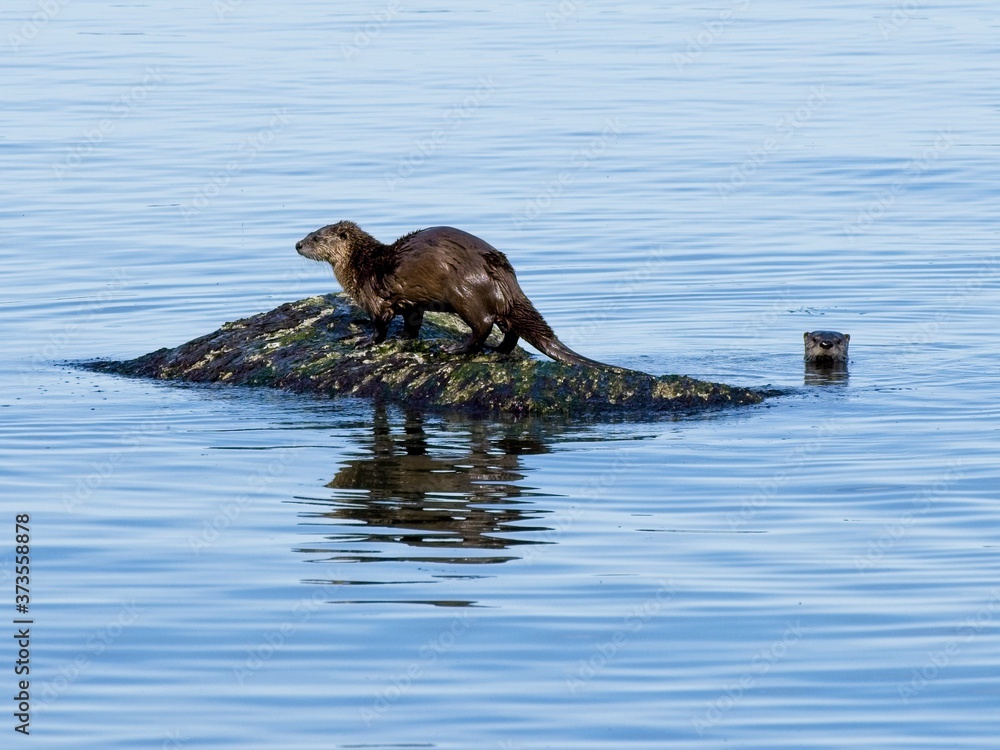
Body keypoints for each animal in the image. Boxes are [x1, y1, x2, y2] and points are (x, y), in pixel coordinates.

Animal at [295, 221, 611, 368]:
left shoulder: (375, 299)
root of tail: (500, 270)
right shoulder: (412, 301)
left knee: (483, 323)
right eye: (309, 232)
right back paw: (498, 351)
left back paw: (456, 349)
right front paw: (404, 337)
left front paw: (363, 340)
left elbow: (380, 325)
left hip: (463, 293)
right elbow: (412, 321)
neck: (363, 265)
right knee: (510, 328)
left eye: (316, 237)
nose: (298, 244)